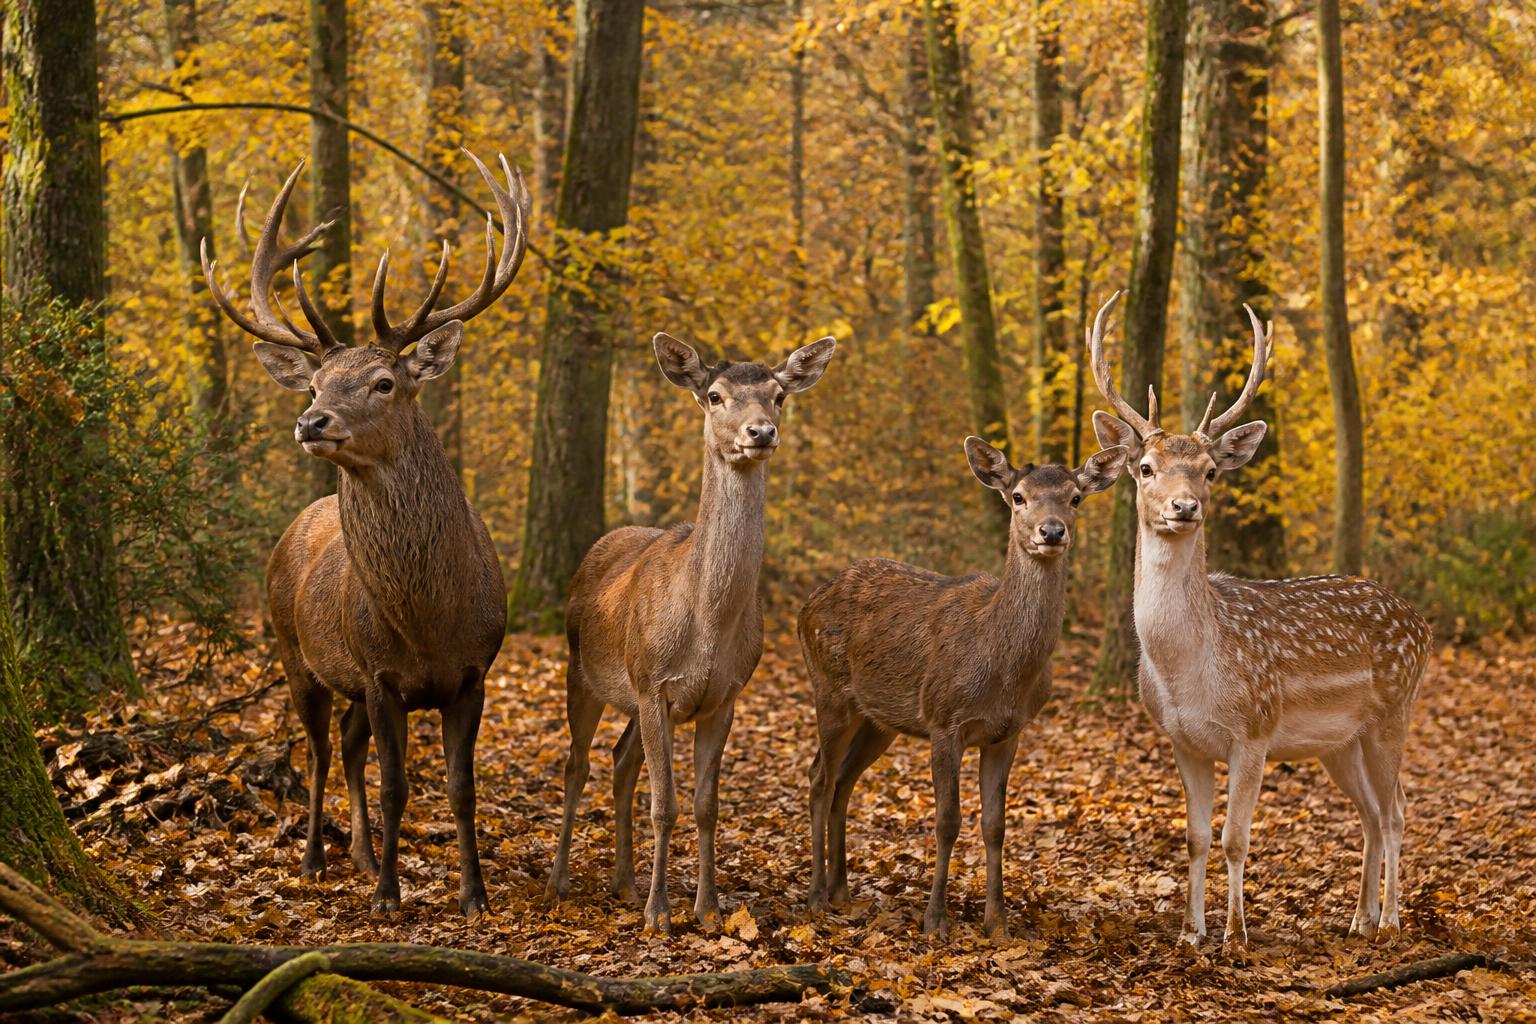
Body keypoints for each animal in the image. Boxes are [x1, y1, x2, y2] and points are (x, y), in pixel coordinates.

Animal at [200, 149, 529, 917]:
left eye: (384, 381)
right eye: (313, 383)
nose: (311, 421)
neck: (428, 620)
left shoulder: (474, 672)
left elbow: (461, 789)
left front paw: (474, 894)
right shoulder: (380, 674)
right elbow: (397, 785)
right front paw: (388, 896)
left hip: (342, 673)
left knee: (347, 750)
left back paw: (360, 852)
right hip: (295, 652)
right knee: (321, 752)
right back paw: (319, 858)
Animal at [544, 331, 836, 934]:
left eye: (779, 395)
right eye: (715, 395)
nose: (760, 432)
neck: (707, 628)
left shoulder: (723, 697)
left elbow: (705, 805)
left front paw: (707, 908)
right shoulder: (654, 683)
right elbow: (665, 805)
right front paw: (660, 914)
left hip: (633, 697)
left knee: (621, 761)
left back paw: (625, 882)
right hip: (583, 672)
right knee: (576, 763)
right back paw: (560, 881)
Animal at [798, 437, 1129, 939]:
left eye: (1075, 498)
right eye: (1018, 497)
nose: (1051, 532)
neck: (1003, 670)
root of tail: (807, 605)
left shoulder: (1008, 733)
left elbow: (995, 824)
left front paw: (998, 921)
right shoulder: (943, 719)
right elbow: (947, 820)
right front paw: (936, 920)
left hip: (879, 719)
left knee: (843, 780)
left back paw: (842, 891)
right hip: (829, 688)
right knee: (819, 776)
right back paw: (817, 894)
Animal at [1086, 292, 1432, 948]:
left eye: (1210, 471)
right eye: (1144, 467)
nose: (1184, 507)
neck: (1186, 669)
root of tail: (1422, 621)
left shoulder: (1254, 730)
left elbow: (1235, 838)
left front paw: (1235, 935)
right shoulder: (1183, 741)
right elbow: (1195, 838)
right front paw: (1189, 934)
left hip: (1394, 713)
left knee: (1398, 810)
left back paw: (1392, 920)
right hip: (1338, 741)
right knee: (1370, 813)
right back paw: (1358, 918)